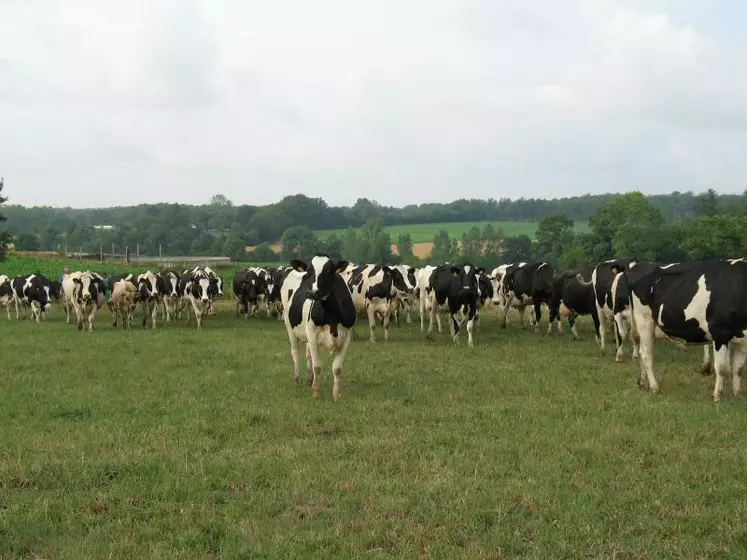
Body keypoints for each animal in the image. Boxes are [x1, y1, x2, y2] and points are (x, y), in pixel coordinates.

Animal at [280, 256, 356, 400]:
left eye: (329, 271)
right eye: (309, 271)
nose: (312, 292)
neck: (332, 315)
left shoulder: (347, 336)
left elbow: (337, 368)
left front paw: (336, 395)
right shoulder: (312, 333)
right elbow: (318, 366)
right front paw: (315, 392)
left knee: (308, 354)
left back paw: (310, 379)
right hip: (289, 324)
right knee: (295, 352)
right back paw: (297, 379)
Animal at [620, 258, 747, 402]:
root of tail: (639, 265)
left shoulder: (742, 338)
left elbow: (739, 369)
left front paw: (737, 395)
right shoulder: (720, 333)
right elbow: (721, 367)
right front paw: (717, 396)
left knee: (642, 351)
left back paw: (642, 382)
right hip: (644, 320)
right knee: (647, 355)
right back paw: (654, 387)